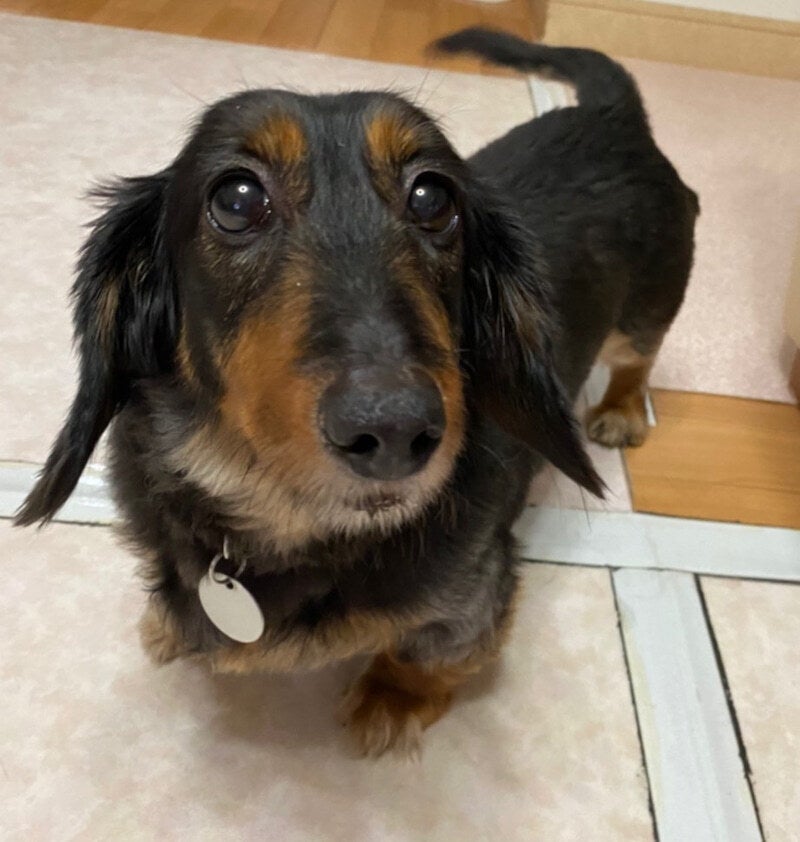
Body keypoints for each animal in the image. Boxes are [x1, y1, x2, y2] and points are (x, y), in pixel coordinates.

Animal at [16, 28, 698, 757]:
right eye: (235, 199)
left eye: (433, 197)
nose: (394, 429)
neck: (292, 520)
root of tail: (613, 117)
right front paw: (168, 624)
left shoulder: (476, 596)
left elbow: (426, 656)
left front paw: (390, 700)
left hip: (644, 312)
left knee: (640, 359)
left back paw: (620, 411)